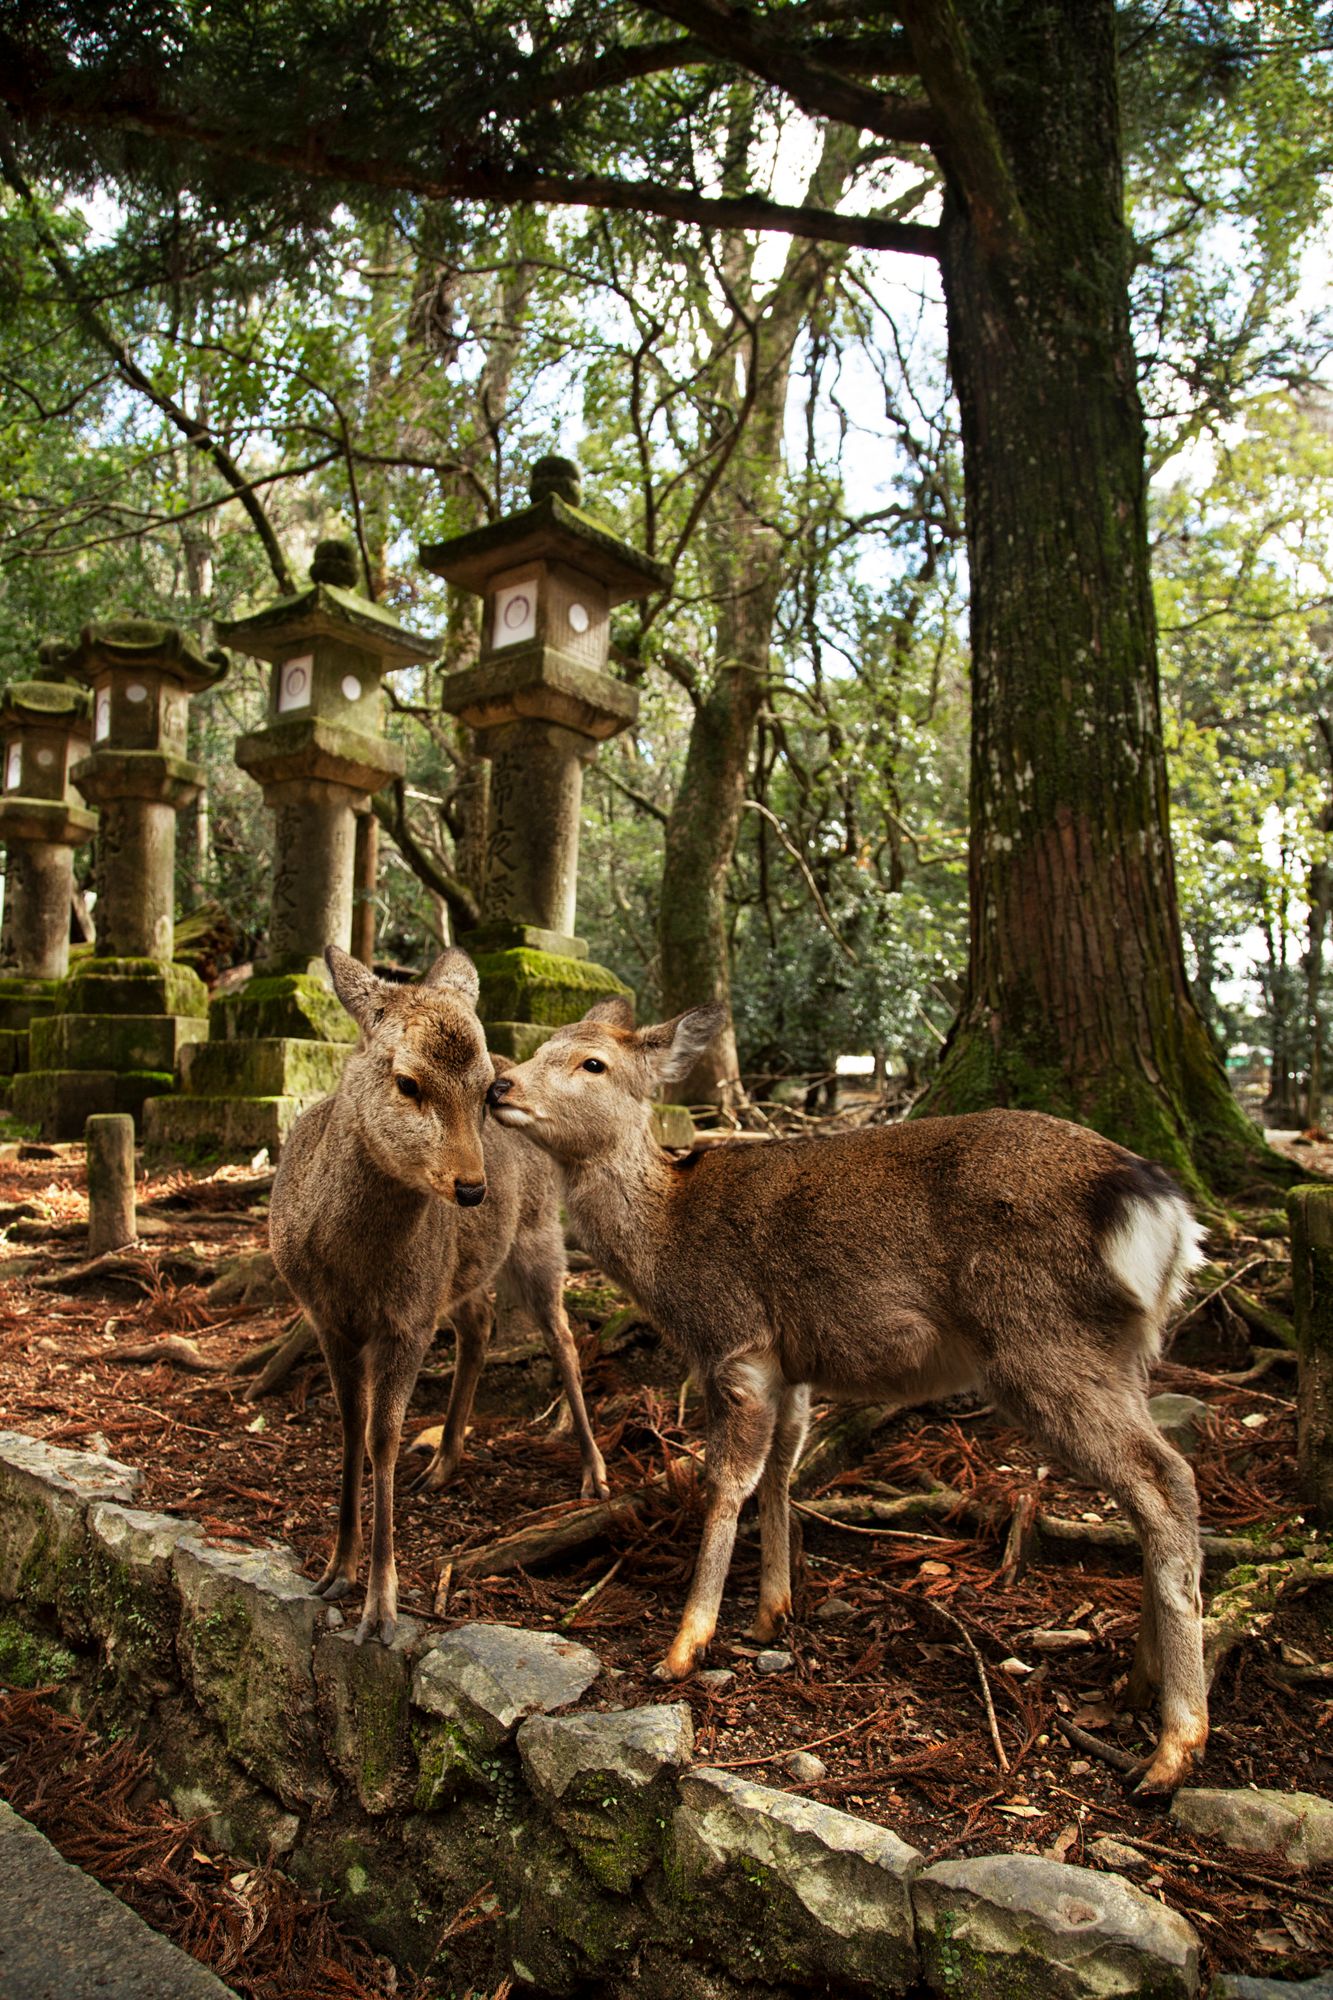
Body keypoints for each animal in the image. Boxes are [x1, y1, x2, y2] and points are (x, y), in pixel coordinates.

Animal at [269, 944, 609, 1645]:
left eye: (483, 1089)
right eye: (407, 1082)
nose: (473, 1187)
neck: (355, 1266)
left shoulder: (408, 1318)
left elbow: (383, 1436)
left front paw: (380, 1606)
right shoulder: (325, 1317)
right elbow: (350, 1427)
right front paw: (335, 1570)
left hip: (538, 1236)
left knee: (563, 1336)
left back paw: (594, 1471)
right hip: (461, 1275)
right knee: (479, 1326)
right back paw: (445, 1460)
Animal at [486, 997, 1211, 1794]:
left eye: (593, 1062)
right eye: (543, 1046)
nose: (498, 1085)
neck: (666, 1246)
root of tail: (1167, 1214)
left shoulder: (735, 1342)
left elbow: (727, 1482)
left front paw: (684, 1646)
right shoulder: (792, 1364)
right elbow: (781, 1471)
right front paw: (770, 1614)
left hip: (1041, 1338)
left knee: (1165, 1479)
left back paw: (1174, 1747)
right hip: (1123, 1352)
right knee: (1156, 1485)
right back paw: (1139, 1685)